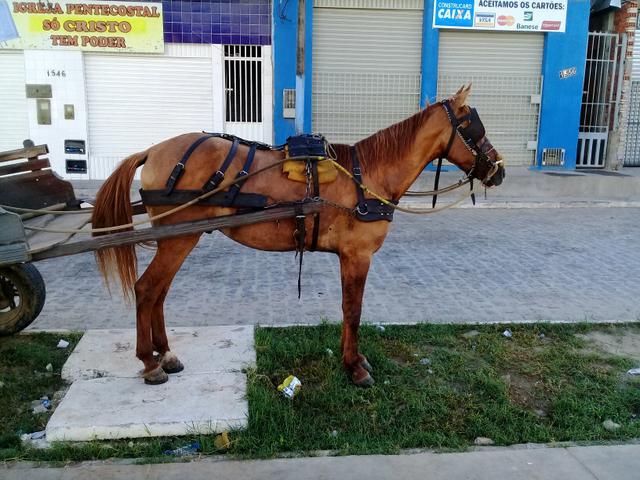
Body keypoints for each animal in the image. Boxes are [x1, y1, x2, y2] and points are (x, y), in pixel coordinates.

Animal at [92, 85, 504, 387]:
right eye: (473, 128)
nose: (499, 170)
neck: (366, 176)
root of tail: (152, 150)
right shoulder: (357, 256)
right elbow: (353, 310)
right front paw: (355, 367)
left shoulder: (349, 258)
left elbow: (347, 309)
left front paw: (351, 358)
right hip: (178, 239)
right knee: (148, 290)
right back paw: (150, 362)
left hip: (177, 240)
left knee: (158, 293)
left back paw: (165, 354)